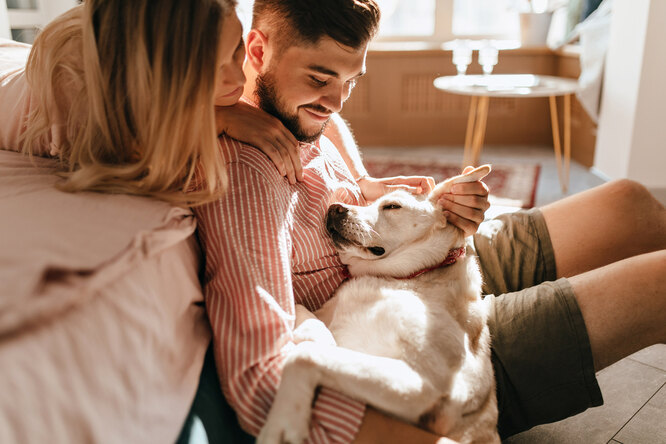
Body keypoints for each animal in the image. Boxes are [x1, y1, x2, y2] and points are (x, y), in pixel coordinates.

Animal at [260, 165, 498, 442]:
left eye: (392, 206)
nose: (335, 207)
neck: (402, 278)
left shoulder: (423, 382)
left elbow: (306, 356)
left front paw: (283, 422)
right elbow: (305, 316)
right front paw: (310, 333)